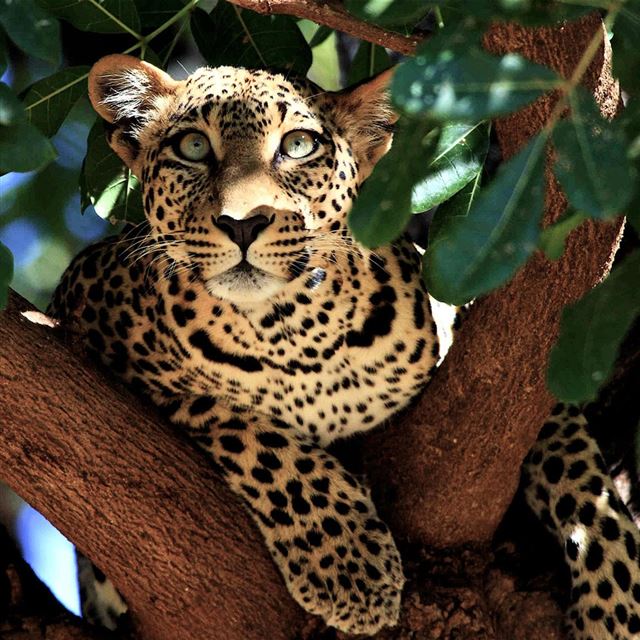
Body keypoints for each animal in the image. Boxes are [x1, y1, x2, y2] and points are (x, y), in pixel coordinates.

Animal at [47, 54, 640, 639]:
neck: (294, 335)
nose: (243, 224)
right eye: (193, 147)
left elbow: (576, 469)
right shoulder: (81, 309)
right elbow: (256, 437)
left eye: (298, 145)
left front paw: (616, 602)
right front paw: (352, 565)